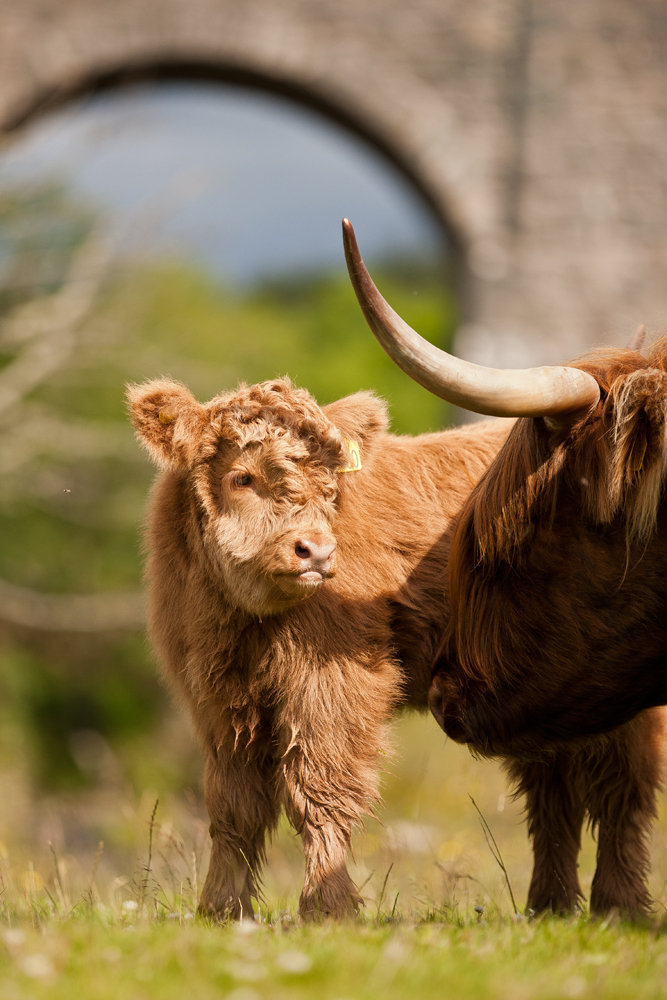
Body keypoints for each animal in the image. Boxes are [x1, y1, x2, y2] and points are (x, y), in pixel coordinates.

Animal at [128, 372, 508, 916]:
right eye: (242, 478)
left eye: (329, 485)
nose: (318, 550)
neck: (246, 627)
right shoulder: (216, 701)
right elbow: (234, 807)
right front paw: (221, 908)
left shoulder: (333, 684)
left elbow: (321, 792)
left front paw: (328, 907)